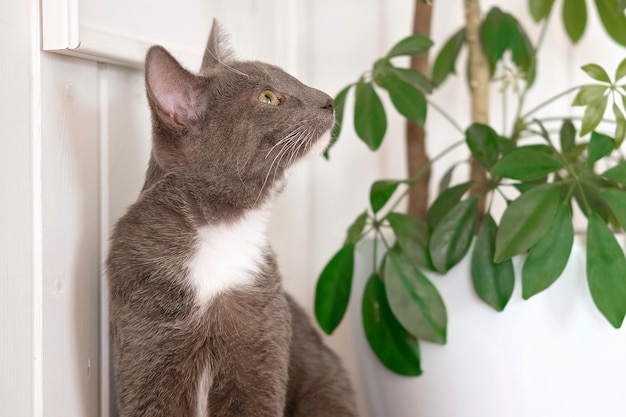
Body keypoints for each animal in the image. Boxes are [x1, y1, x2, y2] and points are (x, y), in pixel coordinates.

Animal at [107, 20, 356, 416]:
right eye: (268, 97)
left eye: (292, 78)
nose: (329, 99)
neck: (221, 229)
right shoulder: (146, 336)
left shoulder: (264, 333)